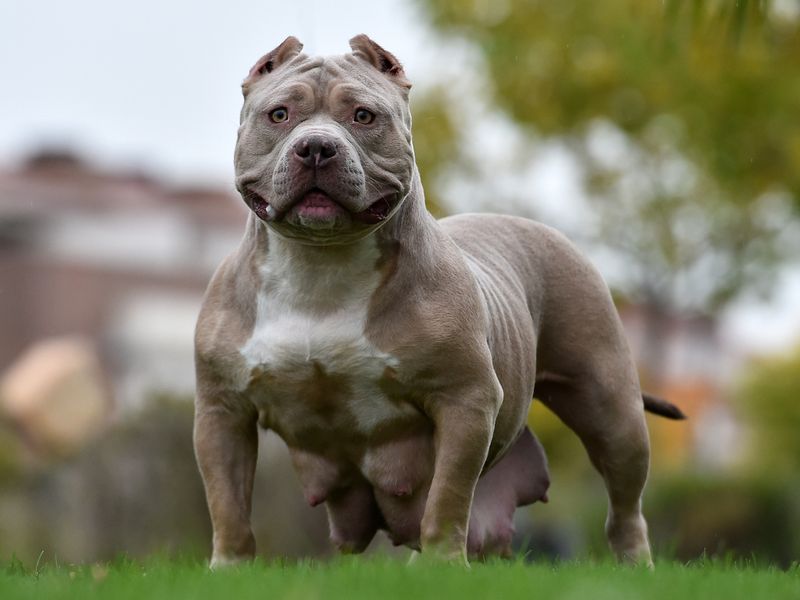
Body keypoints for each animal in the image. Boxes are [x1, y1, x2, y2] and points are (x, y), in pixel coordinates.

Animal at [192, 34, 680, 568]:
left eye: (363, 116)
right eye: (279, 114)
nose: (316, 146)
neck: (320, 268)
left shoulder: (464, 399)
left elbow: (447, 497)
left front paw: (445, 564)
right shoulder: (222, 411)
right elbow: (228, 503)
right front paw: (229, 568)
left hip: (611, 410)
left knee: (623, 503)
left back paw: (634, 563)